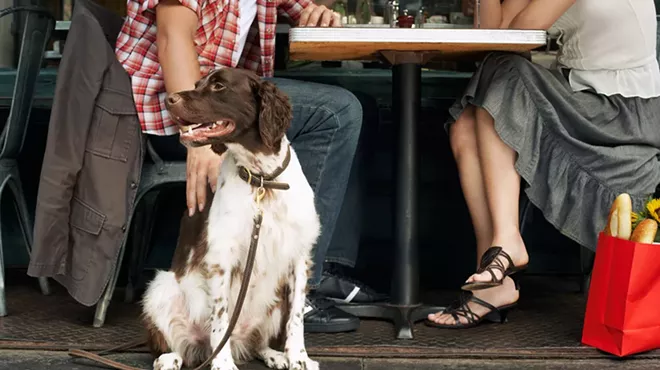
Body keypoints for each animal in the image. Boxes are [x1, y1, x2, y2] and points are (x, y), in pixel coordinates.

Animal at [142, 68, 322, 370]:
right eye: (197, 84)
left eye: (218, 86)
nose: (169, 99)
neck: (262, 180)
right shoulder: (221, 259)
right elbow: (221, 318)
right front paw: (223, 363)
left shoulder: (299, 257)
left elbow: (296, 318)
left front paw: (298, 358)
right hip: (161, 289)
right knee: (171, 344)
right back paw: (169, 359)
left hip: (275, 304)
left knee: (257, 343)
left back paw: (275, 355)